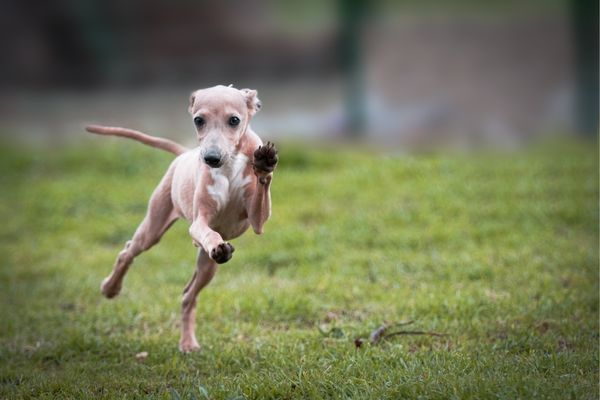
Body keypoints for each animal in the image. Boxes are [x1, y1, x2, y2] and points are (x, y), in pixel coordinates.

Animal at [85, 85, 278, 354]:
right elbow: (207, 231)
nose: (210, 158)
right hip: (154, 227)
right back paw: (110, 288)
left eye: (234, 120)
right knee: (128, 252)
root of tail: (184, 154)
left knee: (189, 295)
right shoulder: (199, 223)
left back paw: (188, 342)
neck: (229, 165)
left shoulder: (257, 220)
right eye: (198, 120)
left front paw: (264, 164)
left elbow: (262, 192)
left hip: (207, 266)